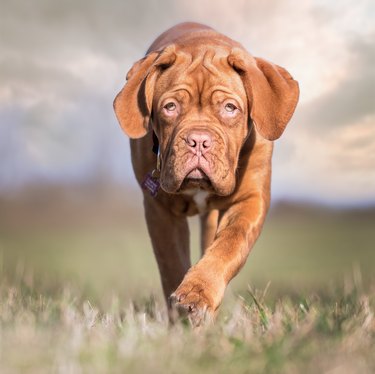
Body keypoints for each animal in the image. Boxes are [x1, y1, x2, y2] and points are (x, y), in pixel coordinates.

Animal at [114, 21, 300, 326]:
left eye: (230, 108)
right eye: (170, 107)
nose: (198, 140)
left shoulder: (250, 200)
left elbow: (228, 245)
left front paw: (197, 294)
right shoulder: (159, 211)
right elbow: (172, 263)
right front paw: (181, 315)